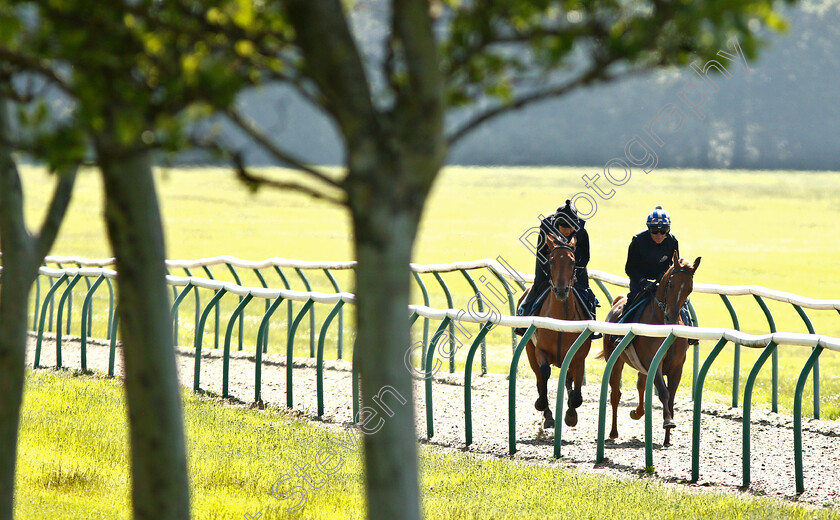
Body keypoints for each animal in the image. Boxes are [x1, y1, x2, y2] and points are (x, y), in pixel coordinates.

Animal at [520, 234, 592, 428]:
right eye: (551, 261)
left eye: (572, 262)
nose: (561, 290)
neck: (561, 321)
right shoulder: (540, 350)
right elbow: (544, 374)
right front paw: (542, 405)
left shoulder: (578, 357)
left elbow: (577, 394)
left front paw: (571, 414)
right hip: (529, 350)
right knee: (539, 377)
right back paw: (548, 414)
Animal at [600, 252, 700, 446]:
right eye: (670, 284)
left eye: (689, 289)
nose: (671, 318)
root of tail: (618, 301)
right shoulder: (654, 363)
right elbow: (664, 393)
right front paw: (668, 421)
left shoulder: (676, 368)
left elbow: (671, 397)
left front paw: (667, 437)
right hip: (615, 360)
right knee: (615, 394)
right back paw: (614, 432)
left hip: (641, 367)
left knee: (640, 386)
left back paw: (637, 412)